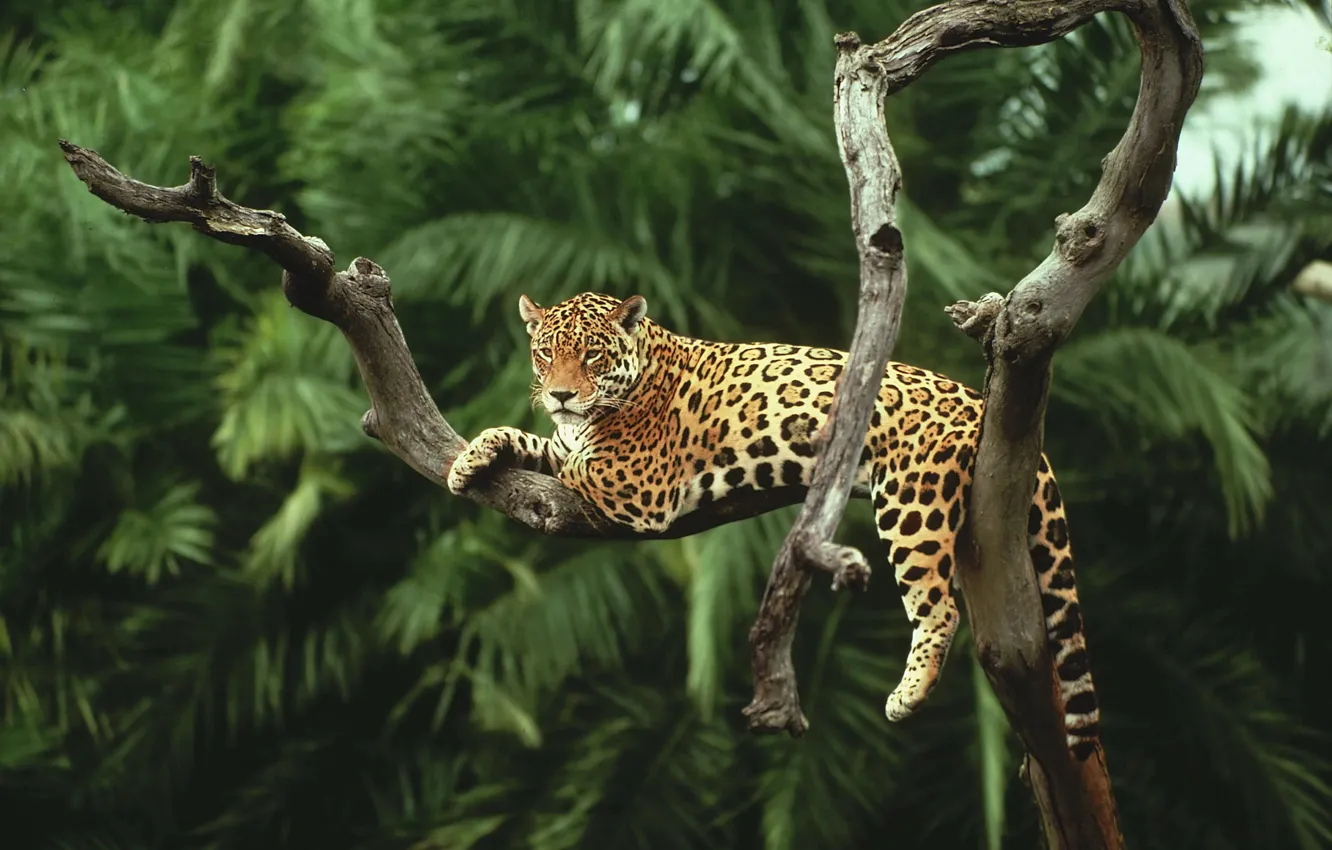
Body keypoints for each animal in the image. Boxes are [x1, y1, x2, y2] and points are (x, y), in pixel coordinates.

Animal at [447, 291, 1101, 759]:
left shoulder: (638, 483)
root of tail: (977, 400)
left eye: (593, 356)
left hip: (911, 501)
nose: (560, 394)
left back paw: (907, 695)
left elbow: (575, 460)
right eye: (544, 354)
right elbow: (534, 441)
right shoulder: (572, 443)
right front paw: (468, 459)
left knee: (937, 607)